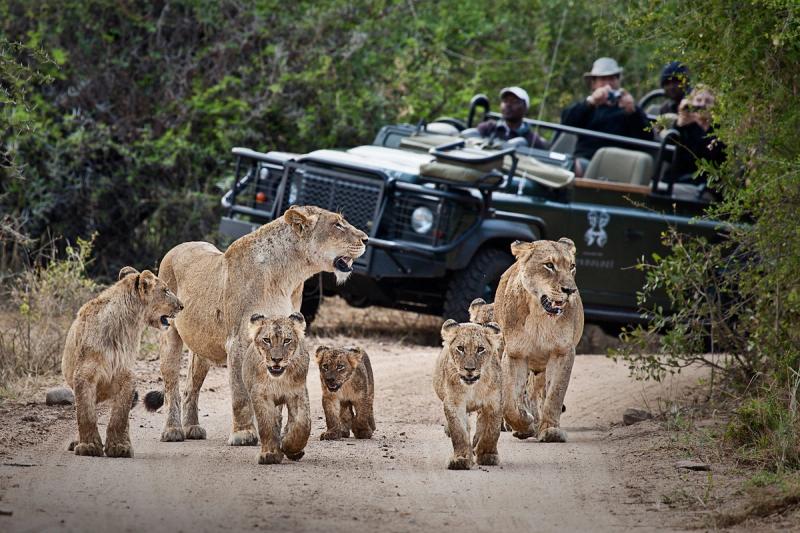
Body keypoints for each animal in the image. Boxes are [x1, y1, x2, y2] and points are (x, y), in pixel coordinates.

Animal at [62, 267, 183, 457]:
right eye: (165, 290)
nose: (182, 305)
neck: (126, 325)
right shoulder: (84, 375)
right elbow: (86, 414)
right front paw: (89, 446)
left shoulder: (126, 375)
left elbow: (119, 416)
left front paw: (119, 446)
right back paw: (76, 441)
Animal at [144, 205, 367, 446]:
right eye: (337, 224)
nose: (366, 239)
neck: (289, 276)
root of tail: (176, 247)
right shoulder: (239, 341)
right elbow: (240, 393)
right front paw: (243, 434)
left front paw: (276, 432)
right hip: (170, 335)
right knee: (171, 386)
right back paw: (172, 430)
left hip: (203, 346)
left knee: (190, 387)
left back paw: (192, 427)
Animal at [243, 312, 310, 464]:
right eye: (267, 340)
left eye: (287, 340)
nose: (277, 359)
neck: (278, 379)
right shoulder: (261, 395)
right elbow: (267, 425)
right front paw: (270, 454)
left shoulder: (298, 393)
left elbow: (303, 424)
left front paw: (289, 446)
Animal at [432, 319, 503, 470]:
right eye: (460, 348)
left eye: (480, 349)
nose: (469, 369)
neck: (473, 387)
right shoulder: (453, 403)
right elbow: (458, 431)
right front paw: (461, 458)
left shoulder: (494, 402)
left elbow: (492, 431)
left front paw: (487, 455)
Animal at [494, 238, 584, 443]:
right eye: (549, 265)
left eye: (572, 266)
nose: (570, 290)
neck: (539, 315)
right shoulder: (515, 354)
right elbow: (509, 402)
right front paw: (524, 425)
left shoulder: (562, 352)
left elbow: (555, 394)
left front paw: (550, 430)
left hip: (541, 367)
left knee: (537, 391)